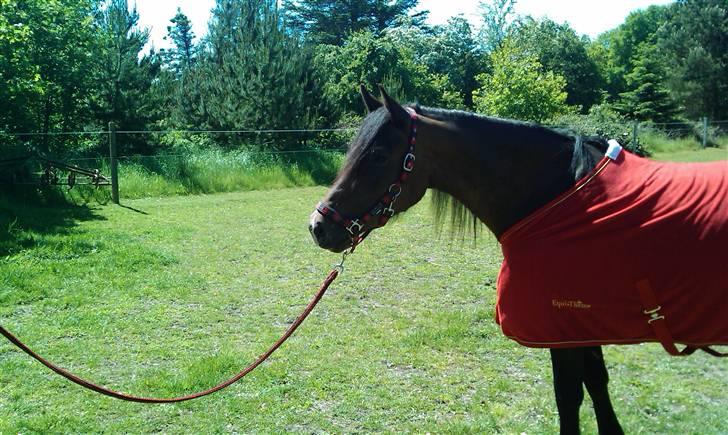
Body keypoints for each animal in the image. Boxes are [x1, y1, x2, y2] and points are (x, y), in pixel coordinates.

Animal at [308, 85, 728, 432]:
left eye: (378, 156)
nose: (318, 226)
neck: (566, 201)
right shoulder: (584, 325)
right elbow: (595, 384)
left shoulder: (563, 327)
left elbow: (569, 395)